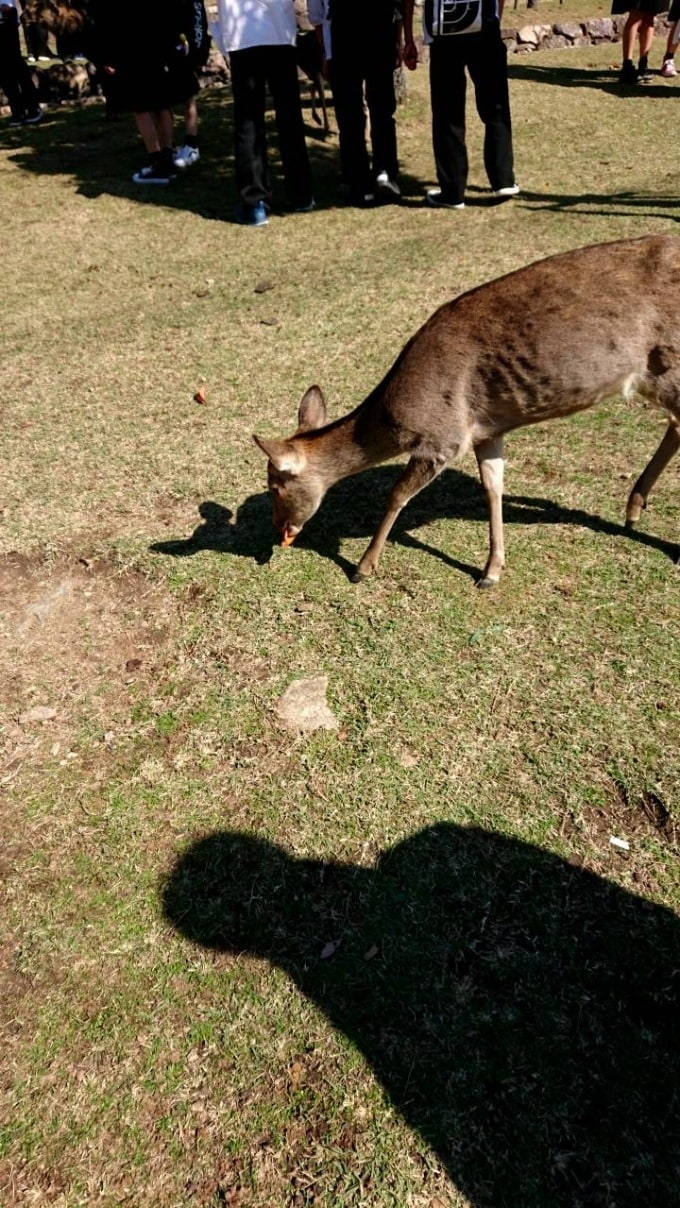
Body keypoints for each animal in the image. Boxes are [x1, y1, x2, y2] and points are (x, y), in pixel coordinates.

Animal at [252, 234, 676, 584]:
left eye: (274, 486)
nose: (277, 529)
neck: (397, 414)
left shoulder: (443, 437)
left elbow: (397, 494)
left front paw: (362, 567)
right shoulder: (488, 431)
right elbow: (493, 487)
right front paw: (491, 570)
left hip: (667, 365)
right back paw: (634, 508)